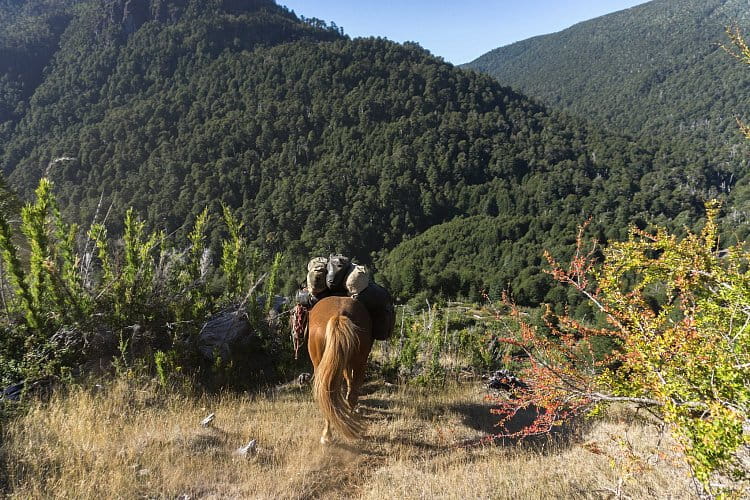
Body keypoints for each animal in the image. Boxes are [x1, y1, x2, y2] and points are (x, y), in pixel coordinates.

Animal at [308, 294, 374, 444]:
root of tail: (338, 315)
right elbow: (349, 381)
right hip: (360, 362)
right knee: (351, 394)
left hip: (321, 365)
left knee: (327, 395)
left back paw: (327, 434)